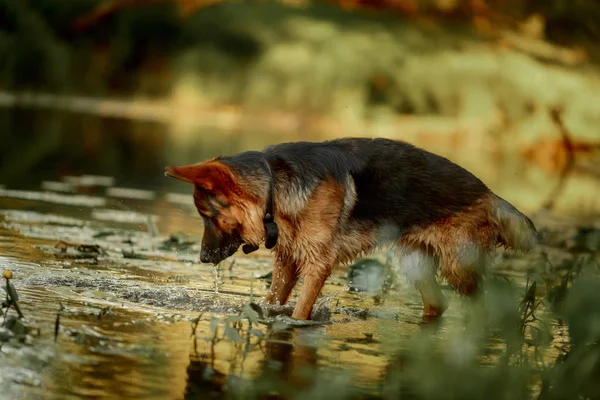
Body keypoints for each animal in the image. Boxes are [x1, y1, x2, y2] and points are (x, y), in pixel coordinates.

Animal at [164, 138, 540, 322]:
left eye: (206, 214)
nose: (202, 258)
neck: (273, 185)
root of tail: (489, 194)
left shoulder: (318, 265)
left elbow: (300, 312)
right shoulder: (287, 261)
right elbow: (273, 300)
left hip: (458, 268)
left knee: (485, 301)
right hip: (416, 265)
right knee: (439, 304)